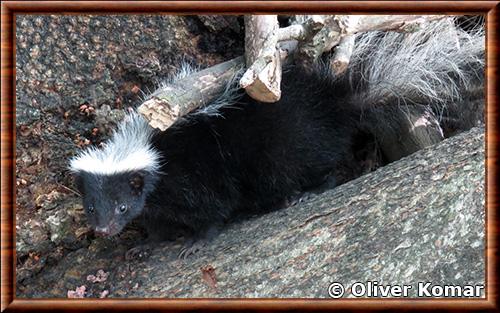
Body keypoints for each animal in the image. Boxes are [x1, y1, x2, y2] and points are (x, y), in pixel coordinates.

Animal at [68, 16, 482, 256]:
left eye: (121, 206)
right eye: (91, 207)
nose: (104, 230)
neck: (149, 146)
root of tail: (338, 102)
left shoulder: (195, 175)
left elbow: (214, 207)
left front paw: (195, 241)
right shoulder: (157, 192)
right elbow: (155, 219)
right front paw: (145, 244)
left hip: (288, 150)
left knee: (319, 167)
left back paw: (304, 194)